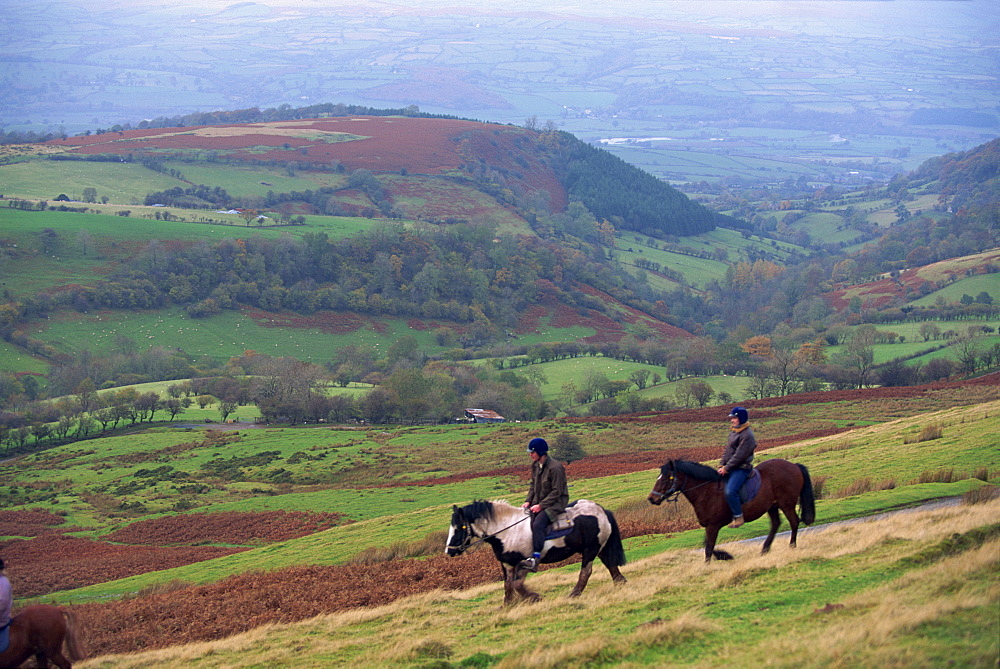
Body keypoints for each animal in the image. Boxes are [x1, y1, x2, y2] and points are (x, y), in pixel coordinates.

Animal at [644, 456, 816, 560]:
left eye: (667, 478)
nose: (652, 499)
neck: (706, 490)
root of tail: (794, 466)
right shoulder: (710, 526)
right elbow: (707, 545)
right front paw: (725, 556)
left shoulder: (713, 525)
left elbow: (708, 548)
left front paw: (718, 559)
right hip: (772, 506)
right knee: (776, 524)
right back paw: (764, 549)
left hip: (786, 504)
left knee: (794, 522)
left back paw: (792, 546)